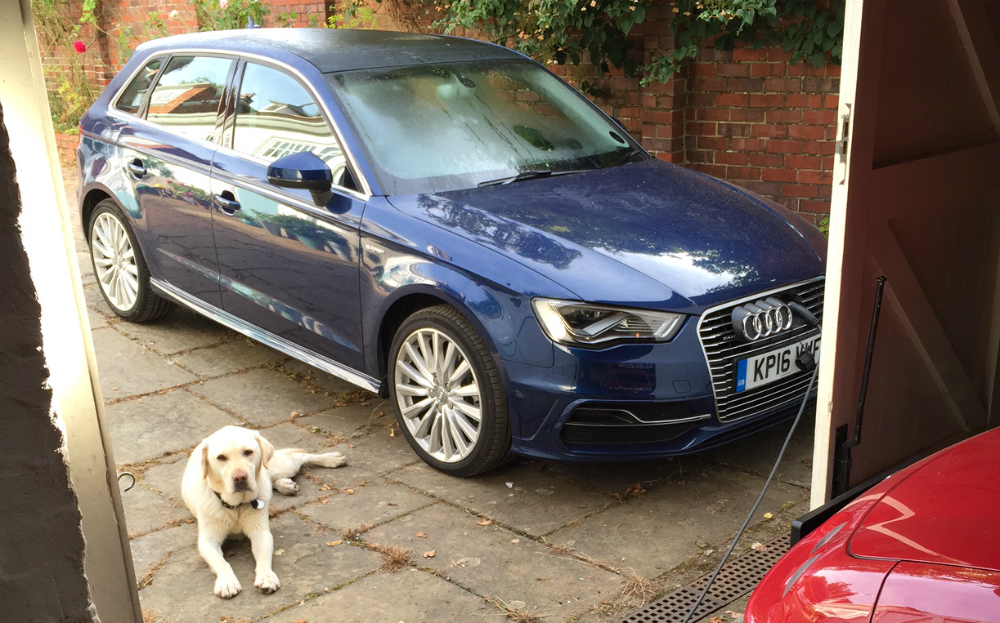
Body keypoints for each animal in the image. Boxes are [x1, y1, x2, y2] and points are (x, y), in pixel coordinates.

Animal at [183, 426, 348, 596]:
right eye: (221, 457)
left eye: (248, 452)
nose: (240, 477)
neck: (236, 506)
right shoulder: (207, 541)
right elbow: (221, 562)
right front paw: (227, 582)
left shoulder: (261, 533)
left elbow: (263, 558)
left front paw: (266, 577)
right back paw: (285, 485)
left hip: (280, 465)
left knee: (300, 456)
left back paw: (331, 459)